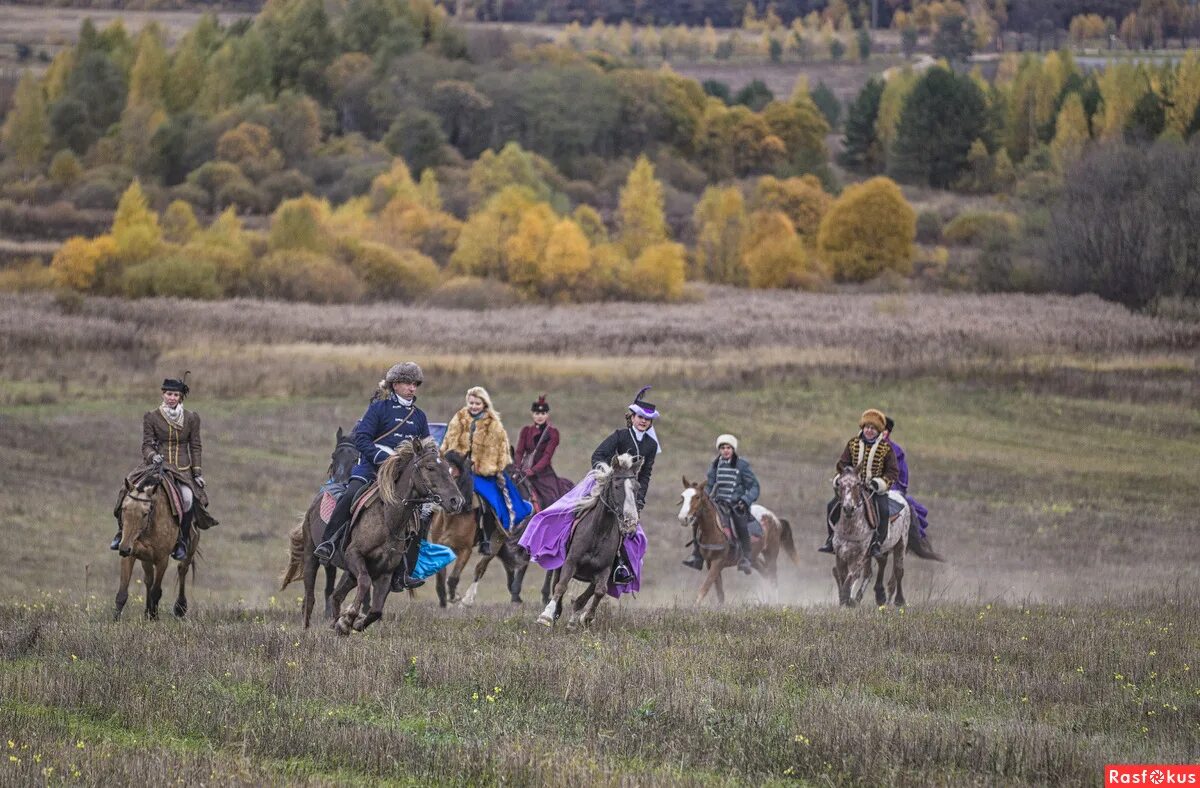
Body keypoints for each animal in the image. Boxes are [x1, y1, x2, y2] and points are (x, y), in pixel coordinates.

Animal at [114, 467, 196, 618]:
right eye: (123, 509)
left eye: (145, 513)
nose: (123, 548)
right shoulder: (130, 554)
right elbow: (122, 593)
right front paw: (116, 619)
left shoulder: (162, 559)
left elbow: (156, 591)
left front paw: (154, 617)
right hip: (145, 558)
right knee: (148, 579)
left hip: (191, 546)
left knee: (182, 569)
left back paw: (180, 607)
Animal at [324, 438, 463, 638]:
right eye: (430, 467)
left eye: (448, 468)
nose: (456, 501)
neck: (388, 520)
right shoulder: (354, 556)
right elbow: (365, 582)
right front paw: (348, 618)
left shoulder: (385, 574)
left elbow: (376, 611)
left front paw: (355, 623)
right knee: (340, 592)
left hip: (351, 574)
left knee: (337, 595)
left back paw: (338, 625)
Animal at [540, 455, 643, 628]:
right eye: (616, 486)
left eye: (637, 488)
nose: (630, 524)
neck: (598, 533)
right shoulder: (570, 562)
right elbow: (561, 586)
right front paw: (546, 616)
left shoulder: (605, 570)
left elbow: (600, 591)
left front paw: (586, 617)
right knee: (557, 586)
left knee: (584, 597)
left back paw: (573, 621)